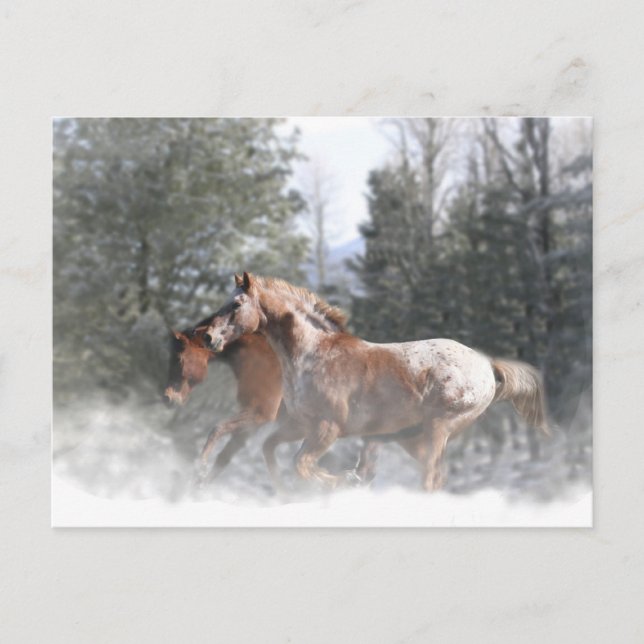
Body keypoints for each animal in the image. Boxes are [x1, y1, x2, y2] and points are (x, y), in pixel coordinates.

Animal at [203, 272, 550, 491]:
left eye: (236, 304)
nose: (208, 337)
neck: (313, 353)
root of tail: (487, 366)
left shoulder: (328, 428)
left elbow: (302, 464)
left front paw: (345, 480)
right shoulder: (300, 425)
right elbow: (271, 450)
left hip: (438, 428)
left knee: (430, 479)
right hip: (415, 437)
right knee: (436, 479)